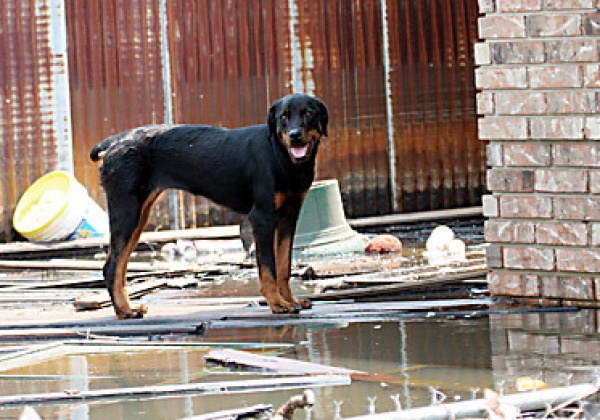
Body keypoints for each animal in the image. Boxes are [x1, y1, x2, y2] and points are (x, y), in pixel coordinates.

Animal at [90, 94, 328, 318]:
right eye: (283, 117)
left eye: (309, 113)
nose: (295, 136)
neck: (280, 156)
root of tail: (115, 142)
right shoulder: (263, 218)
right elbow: (269, 269)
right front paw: (278, 304)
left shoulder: (289, 217)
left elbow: (284, 265)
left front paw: (291, 300)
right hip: (127, 210)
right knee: (112, 266)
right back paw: (125, 311)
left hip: (139, 215)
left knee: (120, 266)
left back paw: (126, 308)